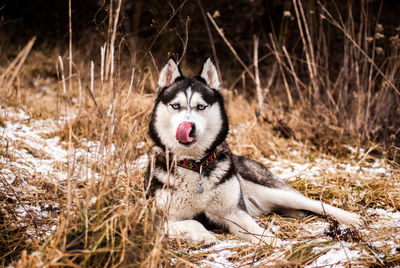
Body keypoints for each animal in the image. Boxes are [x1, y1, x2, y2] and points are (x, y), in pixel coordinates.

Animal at [145, 58, 362, 245]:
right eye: (176, 106)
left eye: (201, 107)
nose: (188, 127)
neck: (195, 166)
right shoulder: (157, 219)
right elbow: (193, 221)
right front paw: (203, 235)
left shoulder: (235, 212)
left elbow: (257, 230)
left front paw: (275, 243)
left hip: (270, 189)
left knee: (312, 202)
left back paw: (349, 217)